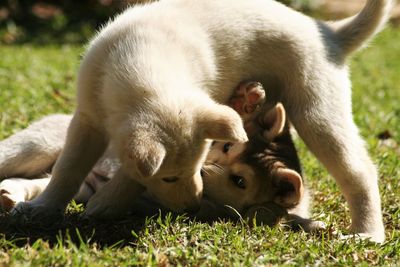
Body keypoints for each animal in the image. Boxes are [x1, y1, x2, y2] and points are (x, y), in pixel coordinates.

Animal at [14, 0, 392, 243]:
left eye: (197, 166)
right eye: (171, 177)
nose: (192, 207)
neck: (143, 65)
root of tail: (328, 32)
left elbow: (130, 173)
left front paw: (107, 201)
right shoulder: (88, 120)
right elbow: (68, 169)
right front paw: (44, 207)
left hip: (317, 110)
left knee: (360, 172)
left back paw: (367, 233)